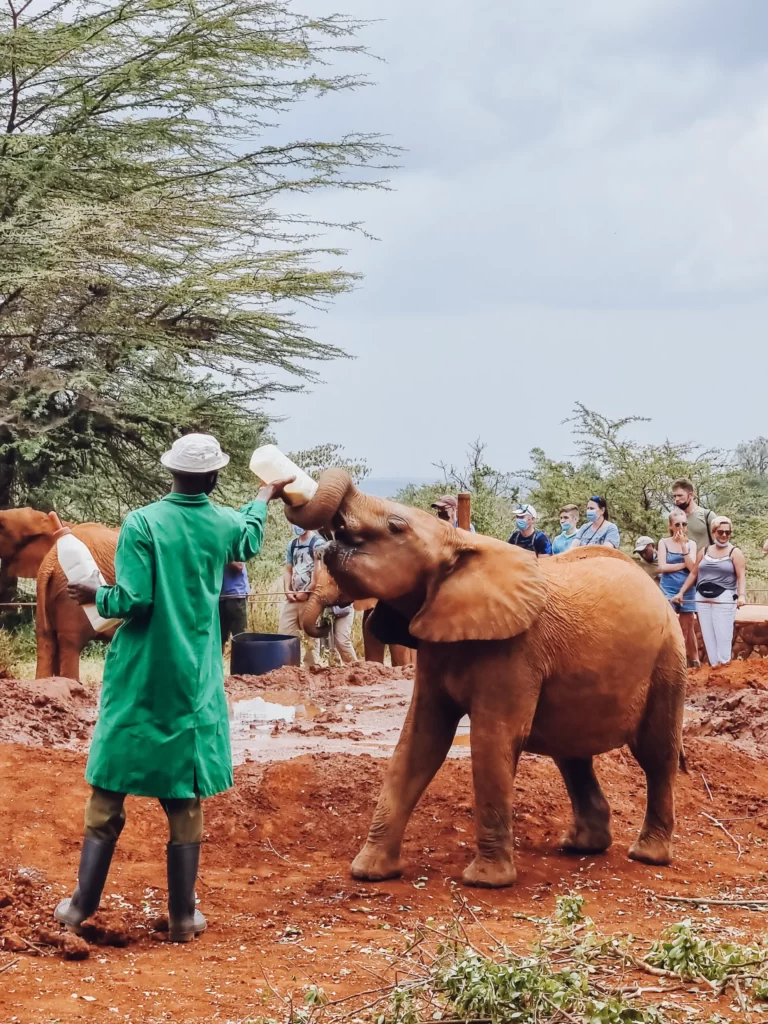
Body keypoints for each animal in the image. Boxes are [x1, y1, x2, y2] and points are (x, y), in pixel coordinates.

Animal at [284, 470, 686, 888]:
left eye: (396, 526)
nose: (290, 487)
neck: (460, 542)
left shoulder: (516, 651)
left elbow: (492, 740)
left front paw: (485, 881)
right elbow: (419, 741)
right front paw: (369, 872)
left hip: (668, 658)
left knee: (656, 753)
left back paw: (647, 855)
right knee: (572, 752)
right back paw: (581, 846)